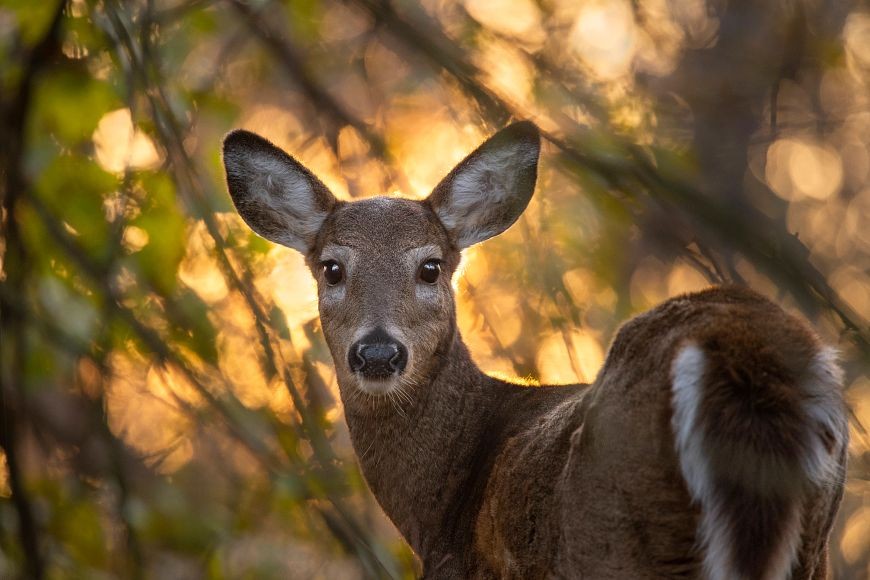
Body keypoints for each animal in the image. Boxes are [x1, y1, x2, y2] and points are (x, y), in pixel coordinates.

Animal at [222, 121, 848, 579]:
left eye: (430, 266)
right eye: (332, 267)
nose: (378, 354)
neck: (439, 510)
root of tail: (738, 348)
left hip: (618, 532)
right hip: (813, 540)